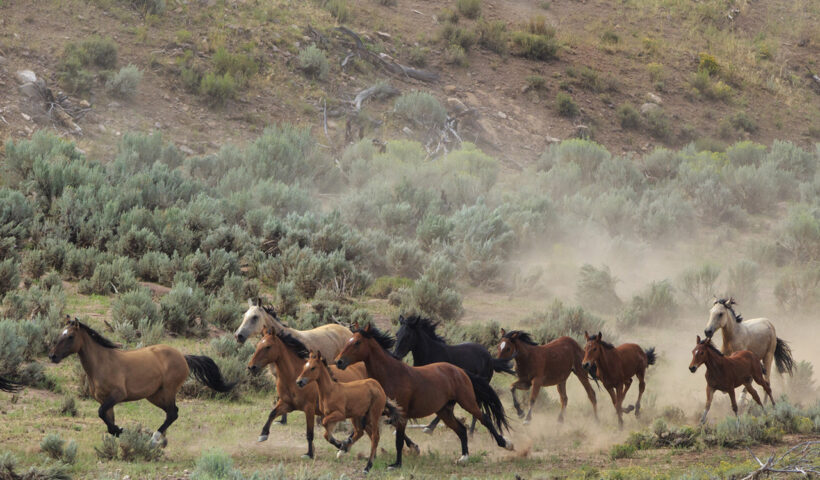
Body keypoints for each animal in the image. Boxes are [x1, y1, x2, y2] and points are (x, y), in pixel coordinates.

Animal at [48, 318, 234, 446]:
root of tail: (183, 357)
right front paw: (120, 432)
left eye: (70, 336)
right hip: (155, 396)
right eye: (60, 334)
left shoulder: (117, 395)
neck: (102, 363)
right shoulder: (105, 401)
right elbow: (108, 421)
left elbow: (101, 414)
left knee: (172, 414)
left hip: (167, 391)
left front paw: (124, 431)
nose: (52, 356)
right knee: (172, 413)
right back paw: (161, 441)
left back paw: (154, 440)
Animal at [235, 298, 354, 426]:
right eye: (244, 316)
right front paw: (282, 420)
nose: (238, 336)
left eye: (255, 317)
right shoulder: (279, 377)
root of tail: (349, 331)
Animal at [247, 326, 368, 458]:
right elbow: (272, 414)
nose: (251, 367)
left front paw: (310, 454)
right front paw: (263, 434)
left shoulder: (309, 409)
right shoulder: (287, 404)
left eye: (268, 346)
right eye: (258, 344)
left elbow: (309, 433)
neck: (294, 376)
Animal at [334, 322, 512, 468]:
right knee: (461, 429)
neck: (391, 374)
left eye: (357, 342)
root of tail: (460, 371)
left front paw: (397, 464)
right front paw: (343, 447)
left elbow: (398, 440)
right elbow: (367, 428)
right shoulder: (385, 410)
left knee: (484, 419)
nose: (338, 362)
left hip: (467, 402)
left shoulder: (402, 413)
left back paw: (506, 444)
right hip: (444, 411)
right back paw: (463, 458)